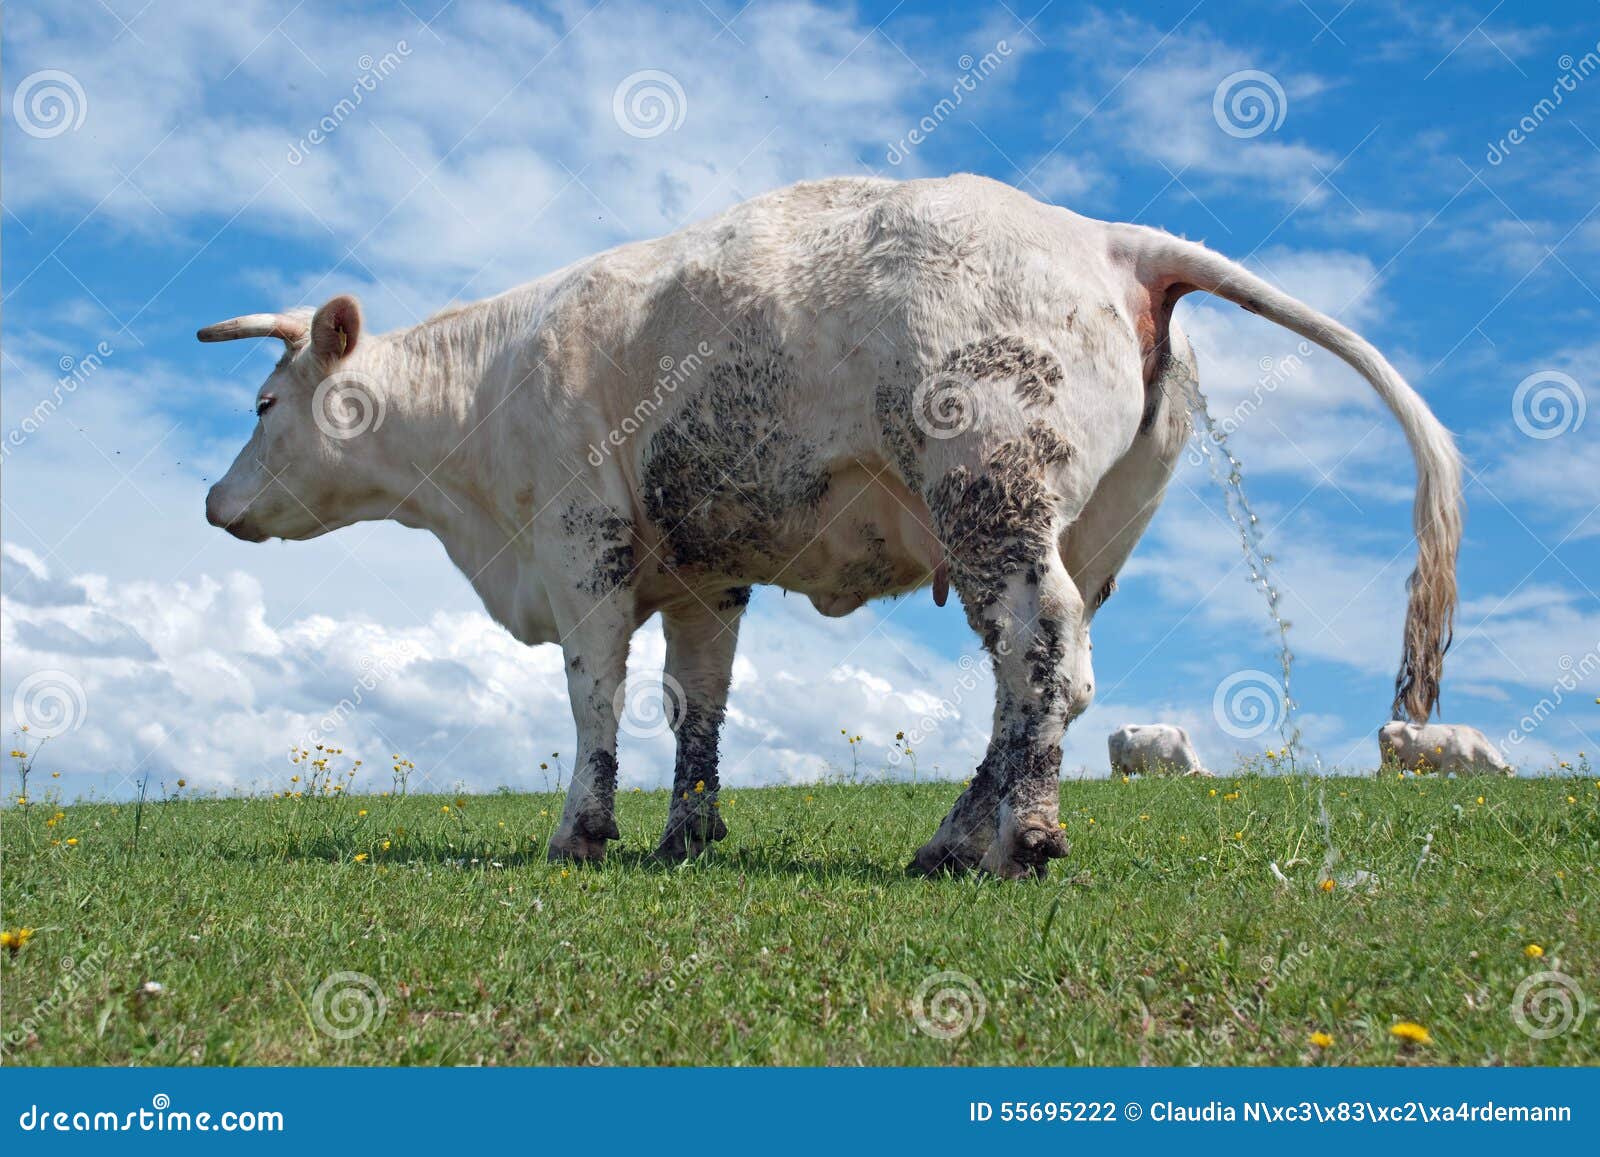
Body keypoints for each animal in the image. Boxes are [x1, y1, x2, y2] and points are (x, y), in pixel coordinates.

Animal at [200, 174, 1462, 879]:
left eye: (263, 403)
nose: (213, 504)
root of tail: (1105, 235)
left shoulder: (581, 542)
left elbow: (595, 692)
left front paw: (580, 830)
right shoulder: (705, 574)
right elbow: (696, 703)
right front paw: (686, 834)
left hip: (992, 489)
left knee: (1041, 654)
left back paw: (1024, 841)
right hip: (1087, 526)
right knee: (1033, 679)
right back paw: (953, 839)